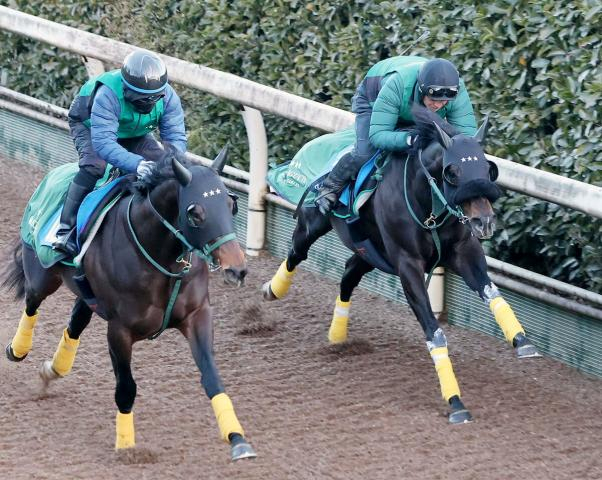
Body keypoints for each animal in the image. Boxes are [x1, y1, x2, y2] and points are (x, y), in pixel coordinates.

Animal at [2, 147, 255, 462]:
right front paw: (126, 447)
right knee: (32, 302)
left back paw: (54, 369)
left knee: (76, 321)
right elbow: (126, 387)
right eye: (194, 213)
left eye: (231, 205)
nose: (237, 269)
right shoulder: (120, 330)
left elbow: (211, 377)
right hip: (43, 274)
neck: (162, 256)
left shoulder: (197, 315)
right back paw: (18, 348)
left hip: (88, 293)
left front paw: (237, 439)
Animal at [262, 107, 540, 422]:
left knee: (348, 273)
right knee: (297, 251)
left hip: (370, 251)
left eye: (488, 169)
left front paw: (521, 340)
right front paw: (455, 401)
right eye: (453, 172)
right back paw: (273, 289)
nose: (485, 221)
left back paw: (337, 335)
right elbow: (434, 331)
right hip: (315, 224)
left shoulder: (463, 251)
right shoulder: (408, 264)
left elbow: (491, 291)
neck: (429, 205)